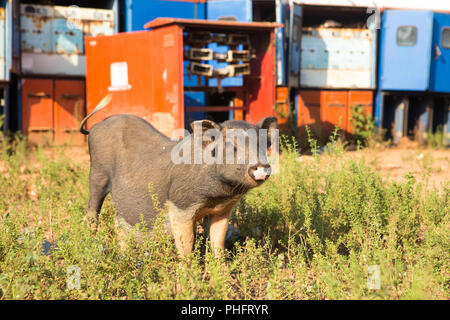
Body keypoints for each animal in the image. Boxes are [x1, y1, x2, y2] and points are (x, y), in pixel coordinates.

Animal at [81, 95, 278, 258]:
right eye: (230, 145)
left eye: (262, 144)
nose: (261, 166)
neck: (218, 195)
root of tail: (95, 128)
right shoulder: (180, 205)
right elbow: (186, 244)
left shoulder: (222, 210)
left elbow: (217, 242)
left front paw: (221, 271)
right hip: (97, 173)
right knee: (92, 212)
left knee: (119, 225)